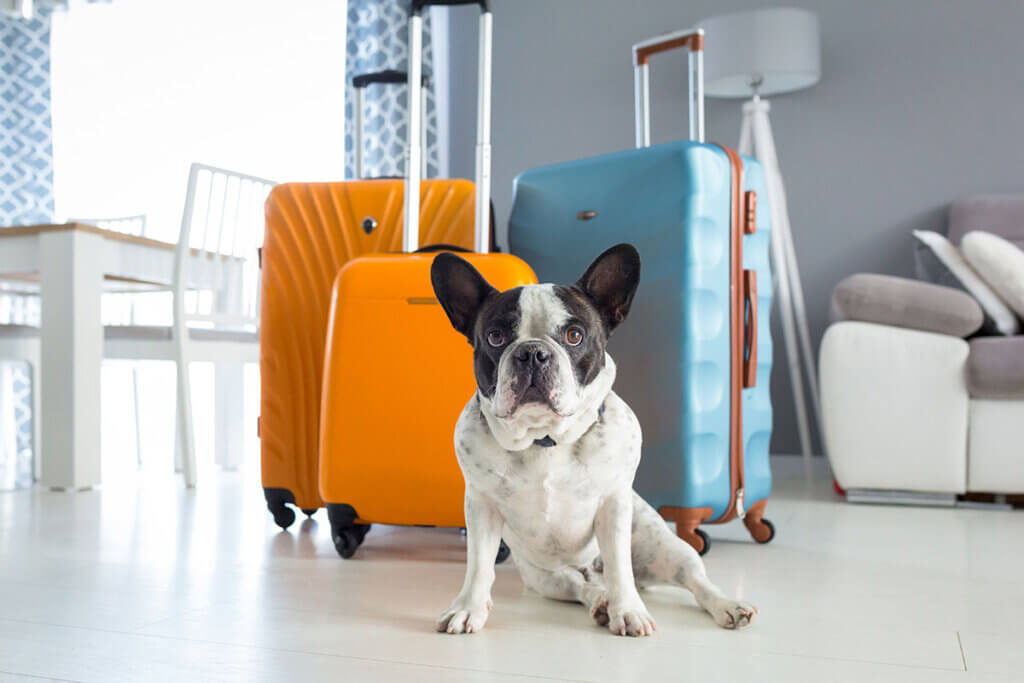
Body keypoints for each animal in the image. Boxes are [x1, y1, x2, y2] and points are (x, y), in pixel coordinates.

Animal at [428, 244, 757, 634]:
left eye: (574, 336)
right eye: (496, 338)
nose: (532, 353)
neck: (545, 438)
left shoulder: (613, 506)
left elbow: (619, 568)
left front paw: (628, 611)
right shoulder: (482, 506)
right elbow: (479, 565)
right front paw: (468, 609)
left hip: (667, 549)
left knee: (694, 580)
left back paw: (729, 606)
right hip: (546, 577)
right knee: (580, 586)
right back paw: (600, 601)